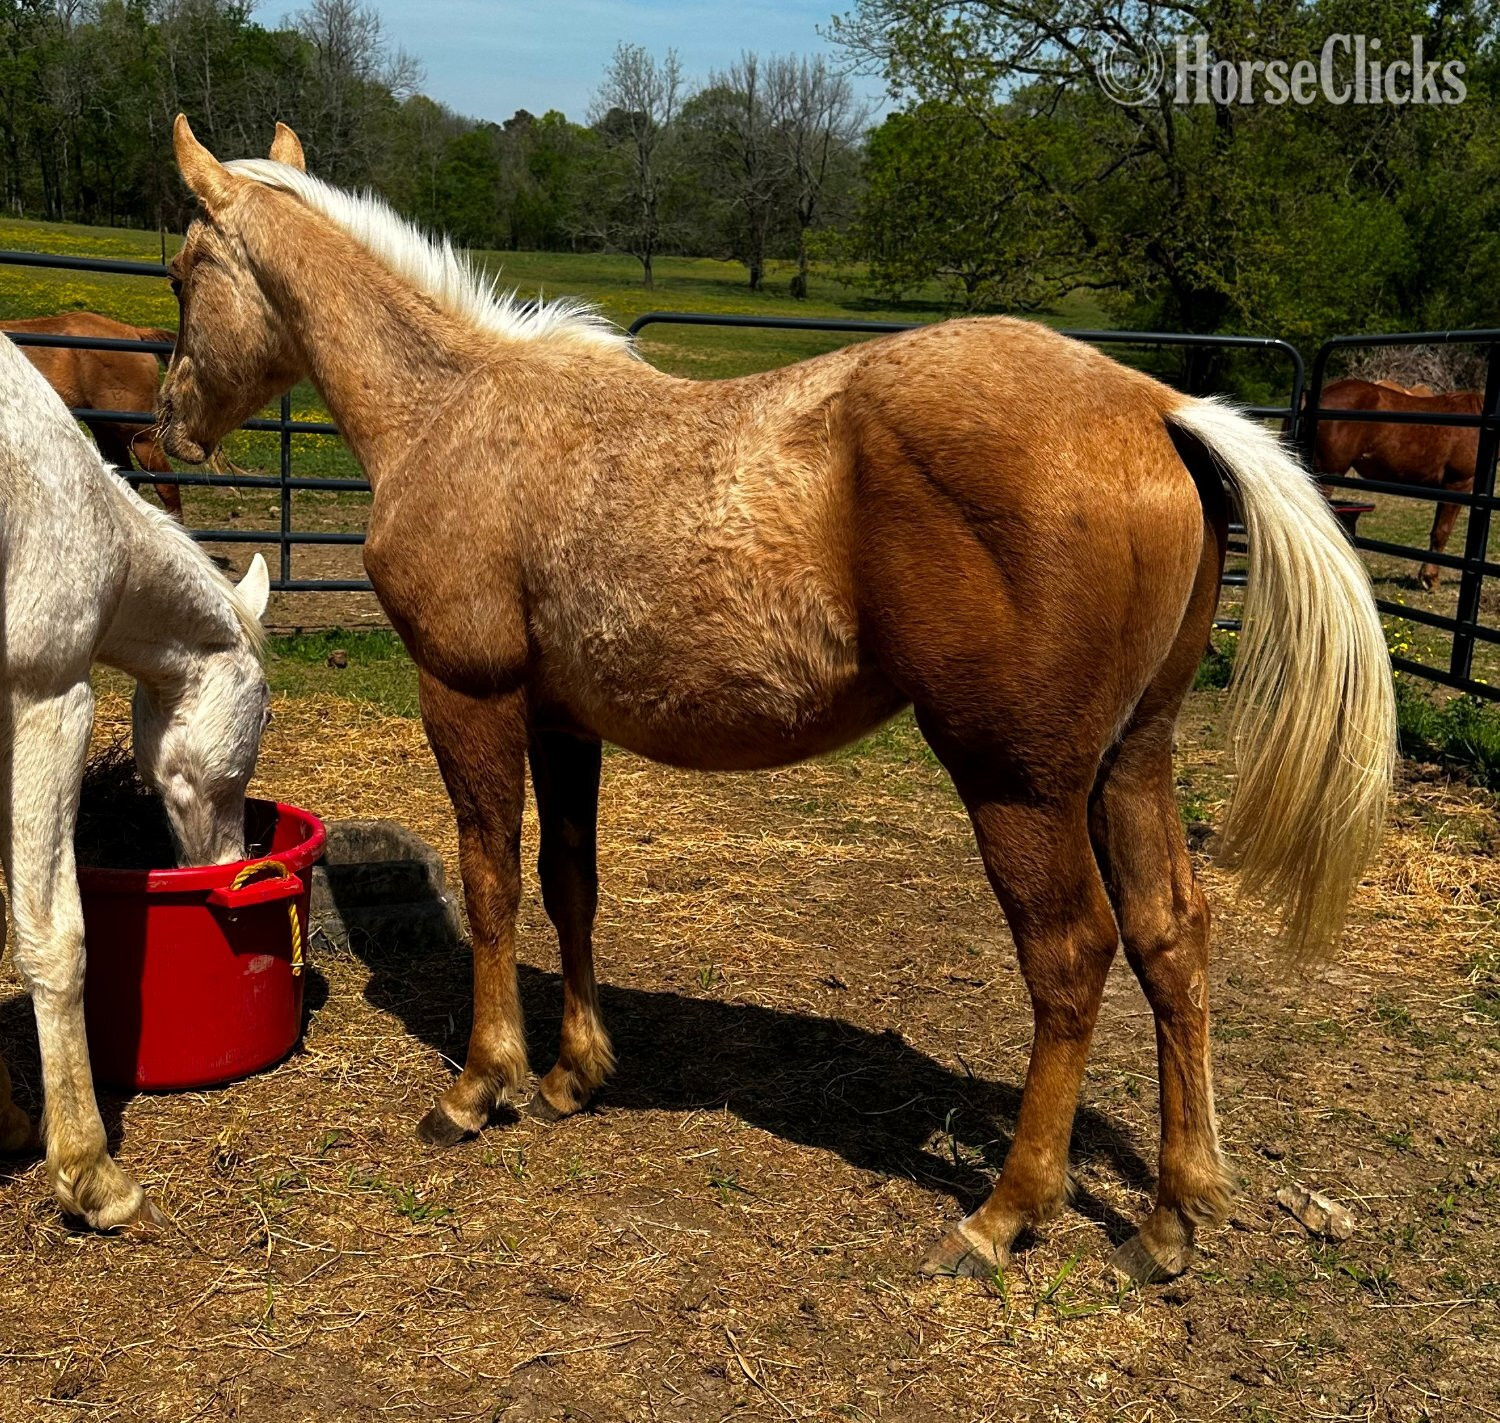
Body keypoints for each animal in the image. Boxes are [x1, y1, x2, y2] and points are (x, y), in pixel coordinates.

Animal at [158, 116, 1394, 1285]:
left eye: (180, 270)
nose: (166, 424)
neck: (452, 409)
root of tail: (1158, 407)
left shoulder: (471, 695)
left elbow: (493, 877)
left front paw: (480, 1085)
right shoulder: (563, 722)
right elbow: (569, 881)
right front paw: (574, 1072)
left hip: (1018, 780)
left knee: (1071, 953)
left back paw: (1004, 1213)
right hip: (1132, 759)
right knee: (1169, 935)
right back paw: (1172, 1217)